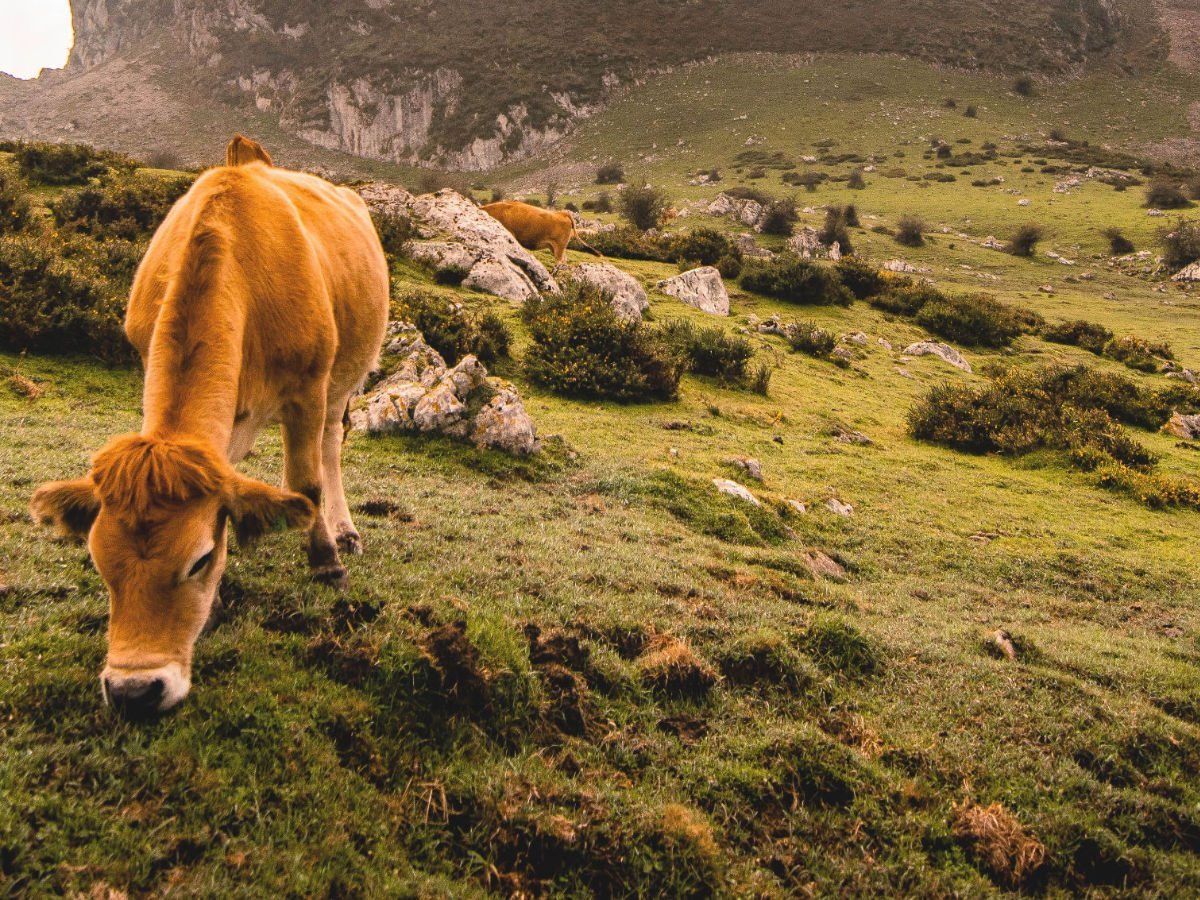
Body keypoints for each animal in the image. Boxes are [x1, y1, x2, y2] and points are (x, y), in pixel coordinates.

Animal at [30, 133, 388, 715]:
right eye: (99, 563)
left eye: (197, 560)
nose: (135, 690)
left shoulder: (308, 386)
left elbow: (306, 481)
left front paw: (326, 562)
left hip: (346, 376)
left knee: (330, 446)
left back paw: (344, 530)